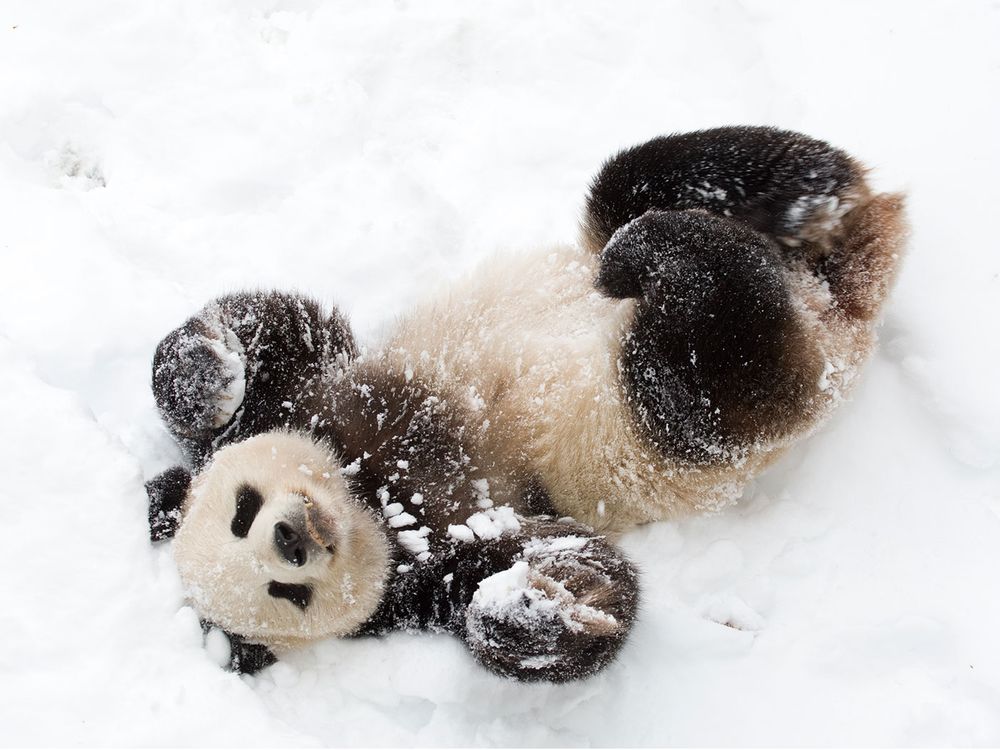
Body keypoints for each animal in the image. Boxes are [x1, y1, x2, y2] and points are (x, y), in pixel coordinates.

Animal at [146, 128, 908, 680]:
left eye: (242, 510)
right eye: (286, 594)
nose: (292, 539)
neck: (370, 490)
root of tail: (835, 302)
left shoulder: (317, 394)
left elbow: (278, 328)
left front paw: (205, 375)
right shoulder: (435, 560)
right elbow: (574, 569)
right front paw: (530, 609)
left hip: (648, 240)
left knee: (641, 181)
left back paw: (790, 202)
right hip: (684, 415)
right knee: (713, 361)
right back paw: (697, 253)